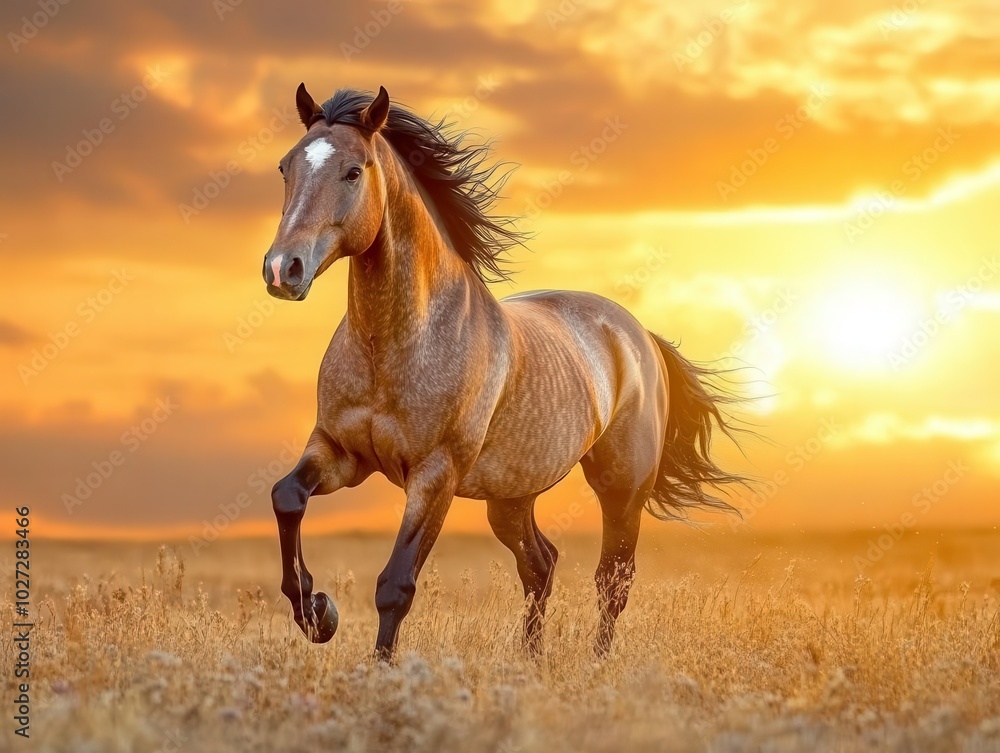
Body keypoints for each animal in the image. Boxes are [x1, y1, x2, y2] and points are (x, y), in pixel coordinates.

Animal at [262, 84, 749, 659]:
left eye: (354, 171)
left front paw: (374, 665)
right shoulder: (339, 453)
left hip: (622, 489)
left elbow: (395, 585)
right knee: (541, 564)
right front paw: (318, 613)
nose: (282, 269)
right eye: (286, 167)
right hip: (512, 498)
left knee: (612, 580)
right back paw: (531, 661)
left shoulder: (435, 476)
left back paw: (596, 665)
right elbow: (287, 497)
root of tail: (639, 336)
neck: (392, 345)